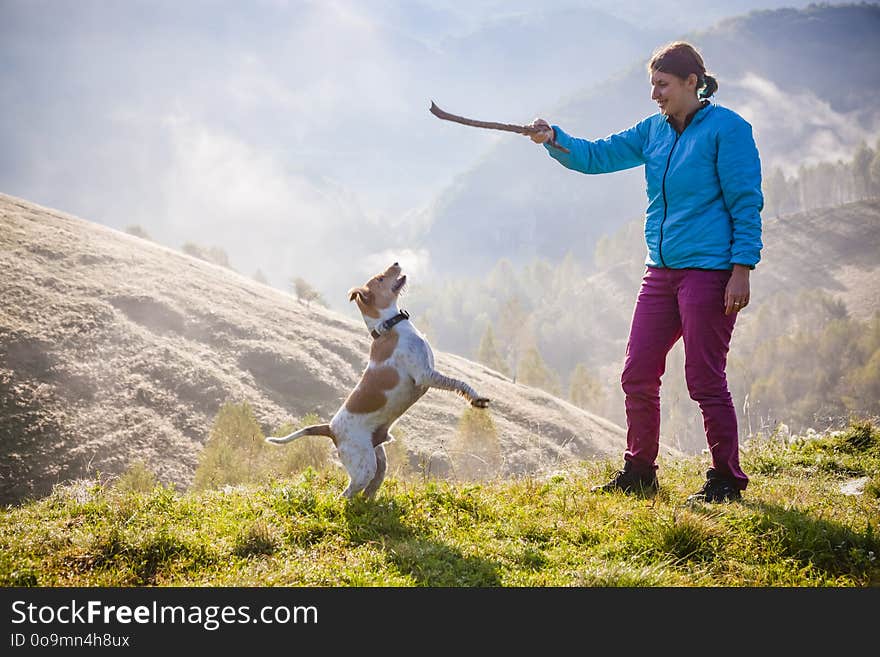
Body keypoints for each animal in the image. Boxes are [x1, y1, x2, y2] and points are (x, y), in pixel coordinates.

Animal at [264, 262, 492, 498]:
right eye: (380, 279)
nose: (396, 263)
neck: (389, 326)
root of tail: (331, 429)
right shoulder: (425, 374)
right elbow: (459, 383)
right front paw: (476, 399)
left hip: (379, 463)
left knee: (368, 492)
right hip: (364, 466)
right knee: (346, 495)